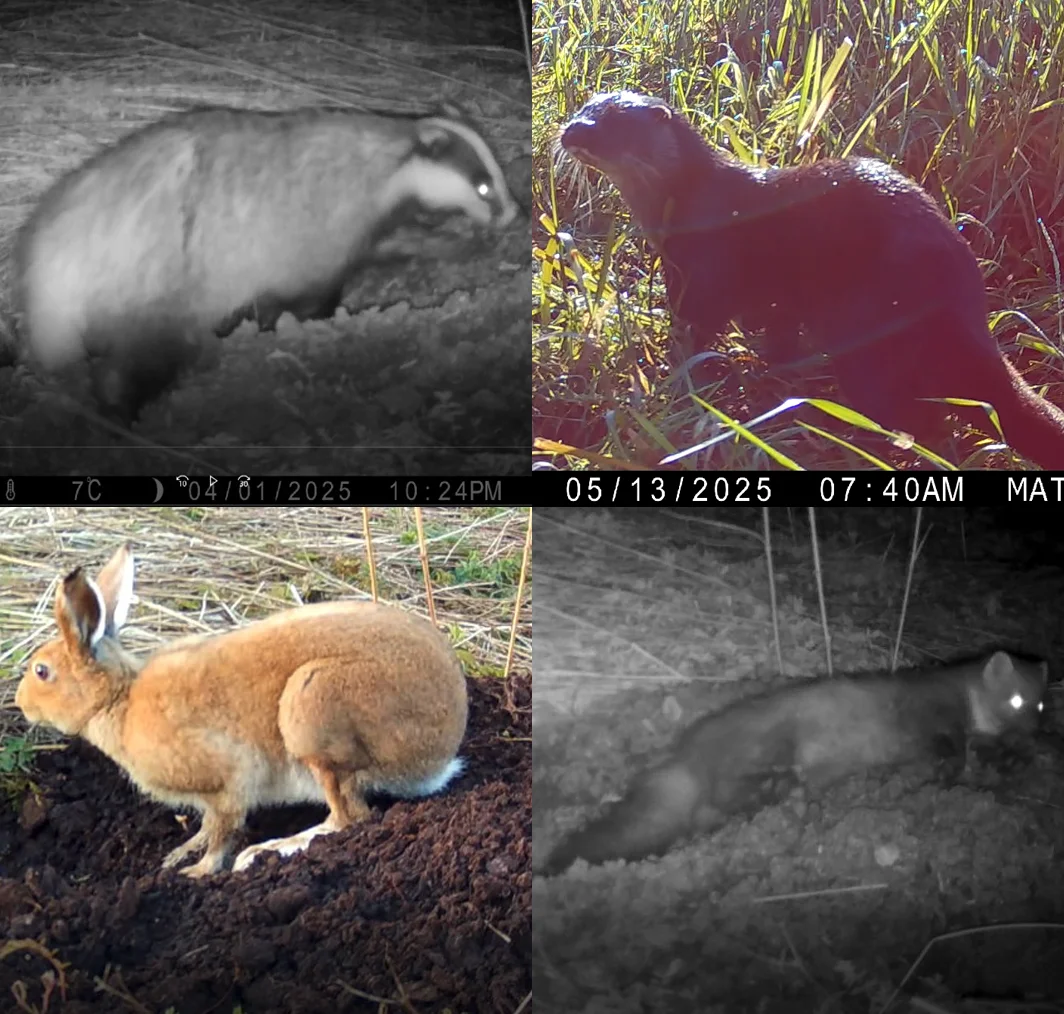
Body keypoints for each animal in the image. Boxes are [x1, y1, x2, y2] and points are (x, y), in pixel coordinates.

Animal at [15, 543, 469, 877]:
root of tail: (440, 752)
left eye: (42, 671)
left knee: (349, 818)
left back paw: (267, 852)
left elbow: (223, 830)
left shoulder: (227, 778)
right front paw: (179, 853)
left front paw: (197, 873)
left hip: (312, 712)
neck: (119, 699)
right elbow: (205, 826)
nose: (20, 704)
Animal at [559, 90, 1064, 468]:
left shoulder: (703, 271)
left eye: (613, 121)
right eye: (583, 107)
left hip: (866, 329)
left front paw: (674, 378)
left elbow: (694, 331)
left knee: (904, 418)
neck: (687, 204)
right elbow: (778, 335)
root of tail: (960, 295)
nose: (571, 130)